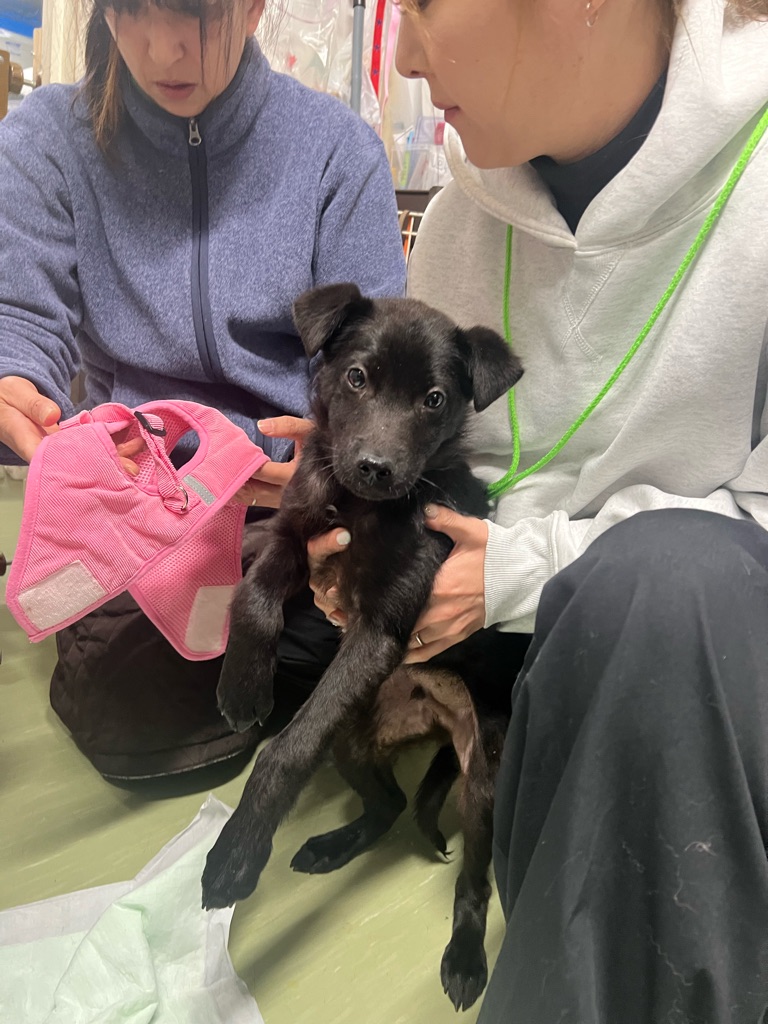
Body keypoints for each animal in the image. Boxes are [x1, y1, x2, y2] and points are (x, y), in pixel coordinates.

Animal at [201, 283, 524, 1010]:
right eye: (356, 378)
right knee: (390, 805)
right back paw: (333, 845)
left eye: (434, 399)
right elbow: (252, 595)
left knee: (475, 881)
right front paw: (243, 687)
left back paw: (466, 959)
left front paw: (237, 851)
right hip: (350, 737)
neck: (364, 507)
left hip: (483, 778)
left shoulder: (383, 627)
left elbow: (285, 749)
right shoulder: (297, 529)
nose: (375, 467)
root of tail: (432, 720)